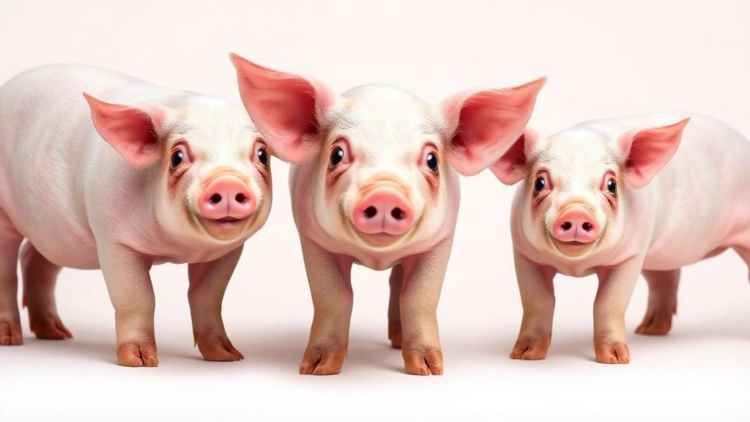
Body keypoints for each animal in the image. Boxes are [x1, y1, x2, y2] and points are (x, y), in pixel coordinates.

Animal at [0, 65, 273, 366]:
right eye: (177, 157)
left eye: (262, 154)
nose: (227, 183)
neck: (177, 248)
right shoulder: (114, 241)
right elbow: (137, 297)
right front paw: (140, 362)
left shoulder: (228, 252)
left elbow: (207, 297)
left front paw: (228, 357)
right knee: (7, 271)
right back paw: (10, 340)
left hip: (57, 234)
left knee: (35, 260)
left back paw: (57, 334)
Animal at [230, 53, 545, 375]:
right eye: (337, 155)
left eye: (432, 160)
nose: (384, 193)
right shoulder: (313, 239)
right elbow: (333, 297)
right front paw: (315, 370)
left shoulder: (440, 241)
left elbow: (419, 298)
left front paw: (428, 371)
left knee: (397, 283)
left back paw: (396, 341)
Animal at [491, 113, 750, 364]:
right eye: (540, 182)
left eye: (612, 185)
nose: (576, 212)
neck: (577, 267)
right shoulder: (524, 254)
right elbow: (537, 302)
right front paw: (524, 356)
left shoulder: (630, 256)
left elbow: (608, 303)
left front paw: (616, 361)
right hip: (654, 256)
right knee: (665, 279)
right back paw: (649, 330)